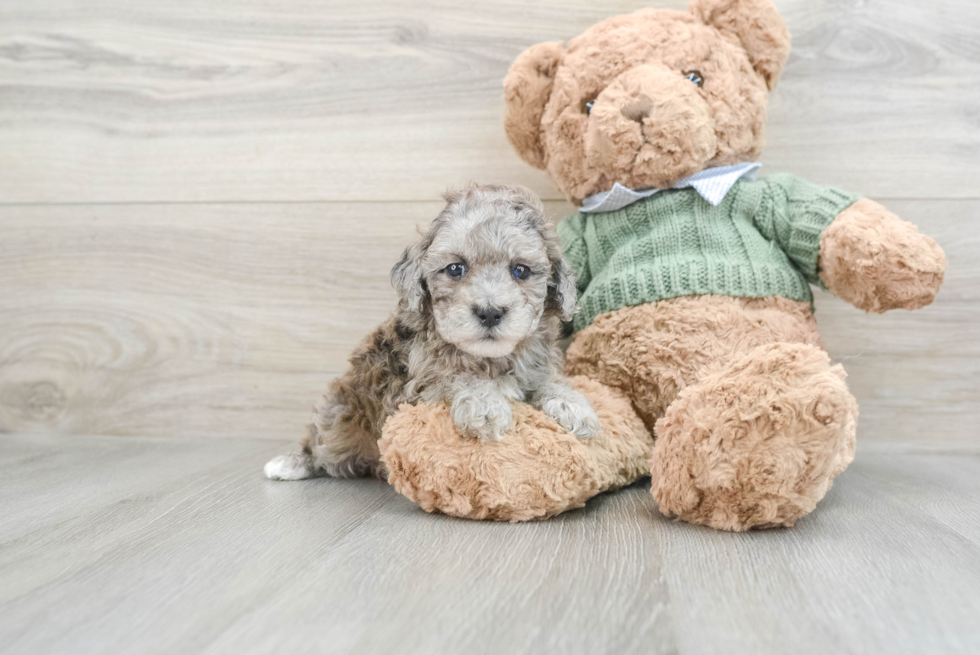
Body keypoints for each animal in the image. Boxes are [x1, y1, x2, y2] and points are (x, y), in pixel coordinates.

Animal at [264, 184, 596, 482]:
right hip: (339, 417)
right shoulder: (415, 390)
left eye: (521, 271)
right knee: (320, 446)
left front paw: (574, 405)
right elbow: (456, 377)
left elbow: (549, 383)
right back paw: (291, 463)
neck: (489, 359)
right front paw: (485, 405)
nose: (490, 312)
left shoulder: (537, 369)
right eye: (455, 269)